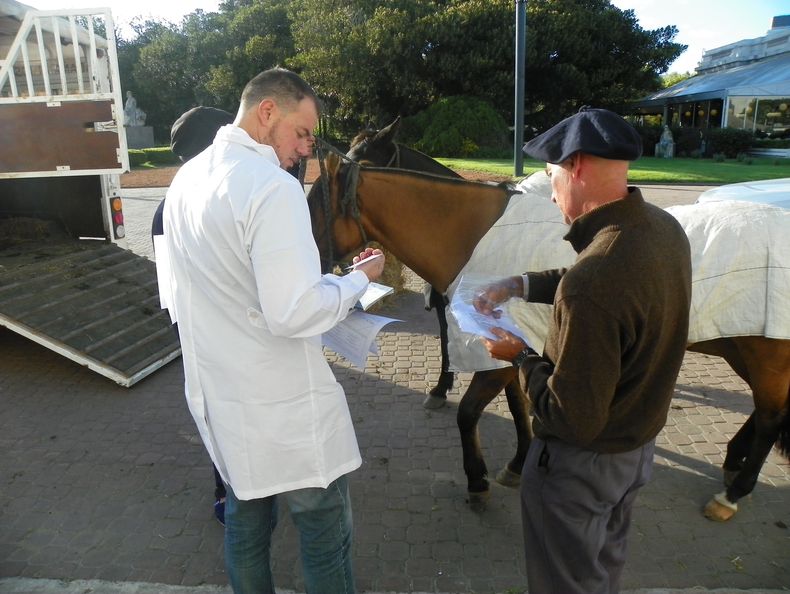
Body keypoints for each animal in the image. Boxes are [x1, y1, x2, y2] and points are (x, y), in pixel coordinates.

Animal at [306, 150, 790, 522]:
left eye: (312, 206)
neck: (474, 237)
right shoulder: (522, 349)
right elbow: (523, 407)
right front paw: (516, 465)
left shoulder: (498, 356)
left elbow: (469, 413)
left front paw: (478, 481)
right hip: (743, 349)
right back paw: (733, 463)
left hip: (768, 355)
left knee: (771, 417)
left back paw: (732, 494)